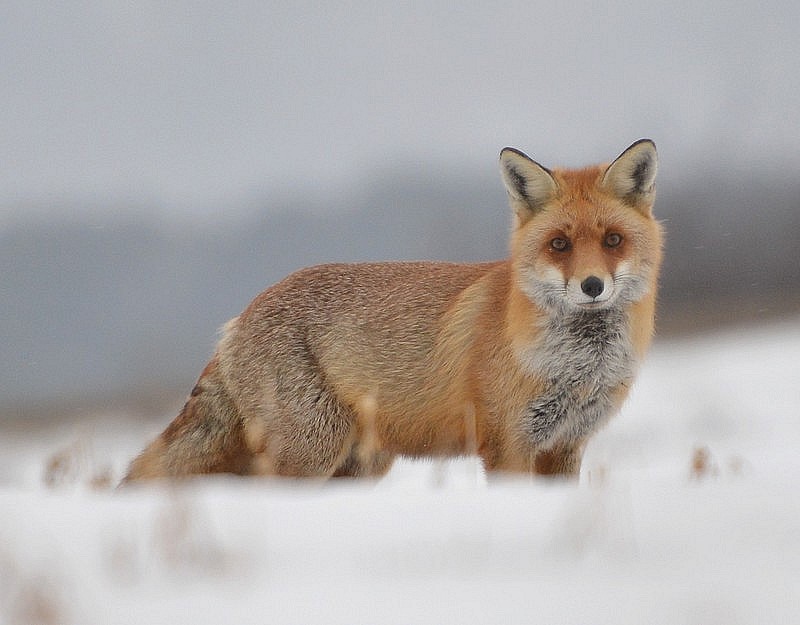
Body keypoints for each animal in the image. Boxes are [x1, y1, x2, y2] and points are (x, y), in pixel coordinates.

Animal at [124, 139, 662, 482]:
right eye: (560, 245)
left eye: (613, 240)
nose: (592, 286)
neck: (576, 368)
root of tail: (239, 317)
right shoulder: (507, 443)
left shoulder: (565, 447)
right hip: (311, 451)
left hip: (358, 465)